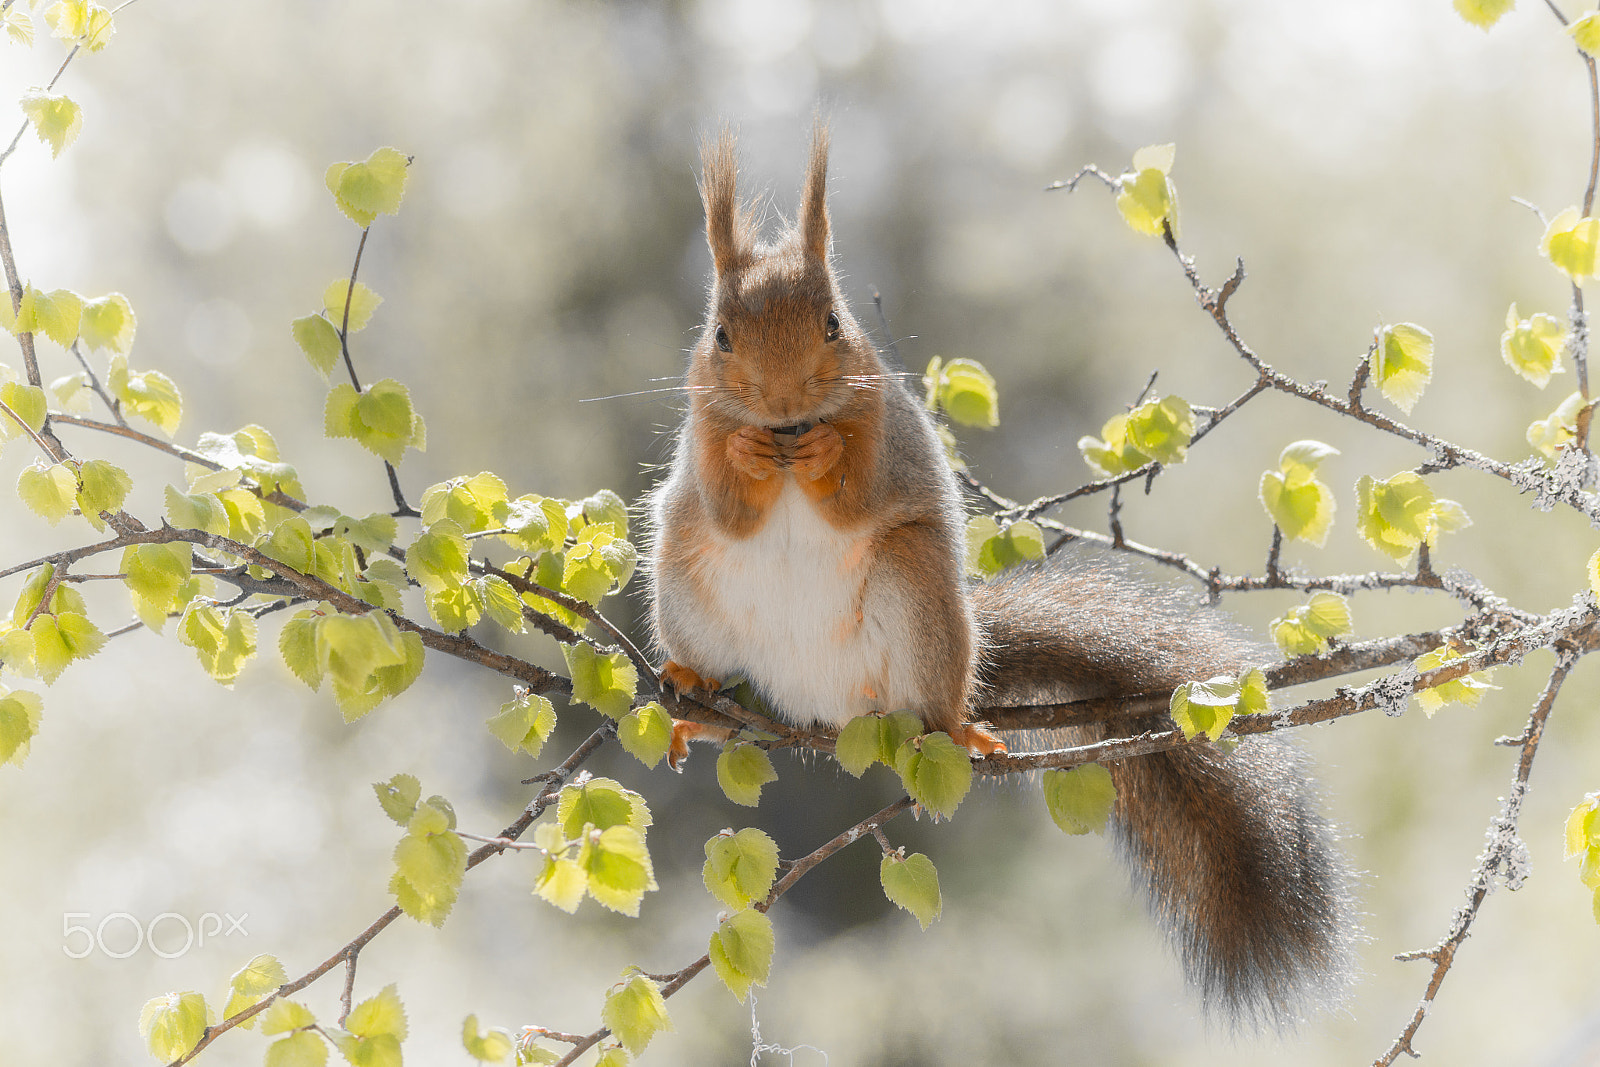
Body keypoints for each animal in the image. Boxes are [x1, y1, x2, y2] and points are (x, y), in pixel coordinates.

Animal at [643, 127, 1356, 1036]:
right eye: (721, 336)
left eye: (835, 323)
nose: (780, 399)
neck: (787, 438)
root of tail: (819, 702)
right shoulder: (700, 440)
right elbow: (727, 502)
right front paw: (747, 454)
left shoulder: (888, 432)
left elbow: (857, 489)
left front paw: (829, 451)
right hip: (685, 582)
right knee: (707, 650)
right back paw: (692, 701)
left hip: (916, 590)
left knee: (934, 697)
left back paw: (954, 725)